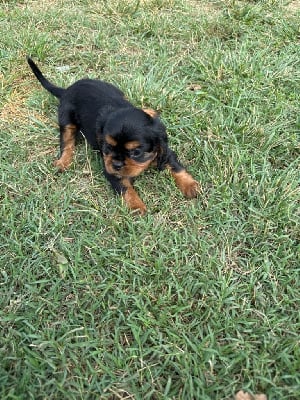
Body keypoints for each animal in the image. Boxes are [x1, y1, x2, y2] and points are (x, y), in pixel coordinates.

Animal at [27, 57, 198, 214]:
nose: (116, 164)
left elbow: (175, 166)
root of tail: (67, 89)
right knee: (67, 141)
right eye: (107, 147)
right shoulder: (110, 170)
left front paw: (190, 185)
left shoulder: (165, 151)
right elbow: (125, 187)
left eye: (136, 152)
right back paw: (63, 161)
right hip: (66, 119)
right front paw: (137, 207)